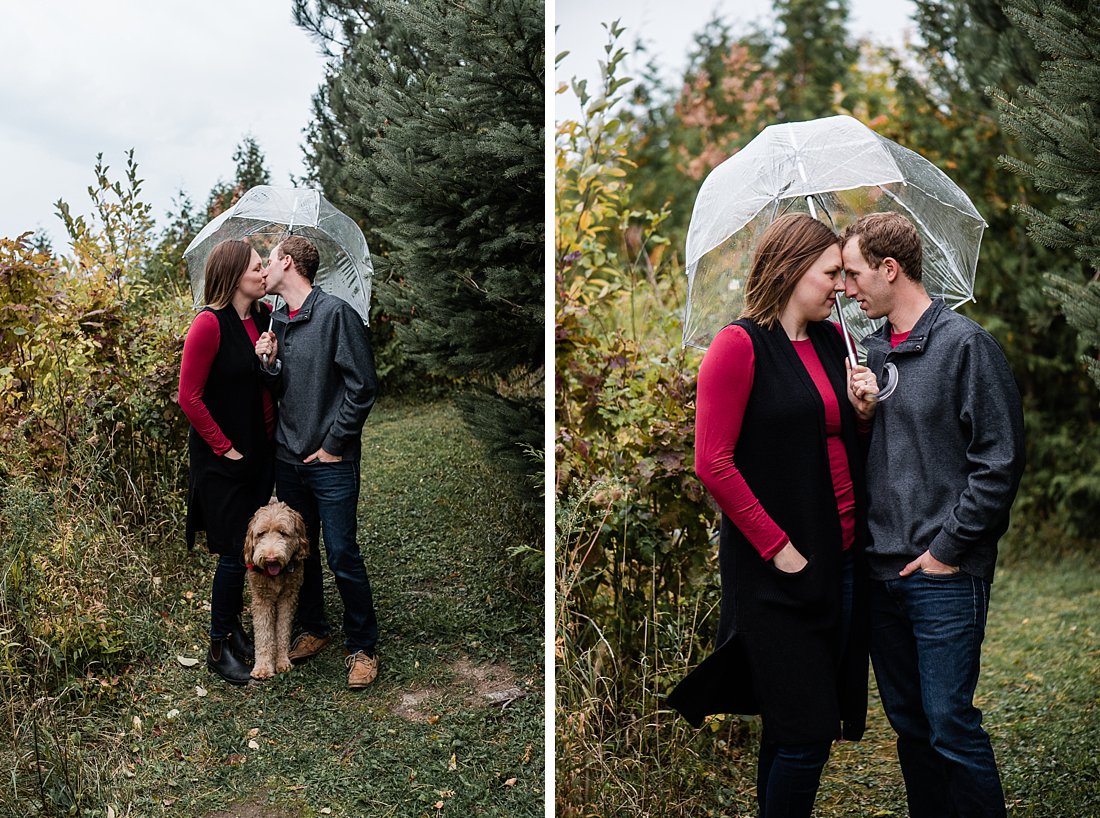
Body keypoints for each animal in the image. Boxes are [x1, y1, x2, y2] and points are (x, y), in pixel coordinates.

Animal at [242, 501, 308, 681]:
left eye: (283, 533)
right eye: (261, 533)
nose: (270, 558)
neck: (277, 575)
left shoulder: (288, 597)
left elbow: (283, 630)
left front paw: (282, 661)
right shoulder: (262, 599)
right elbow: (264, 634)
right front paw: (263, 667)